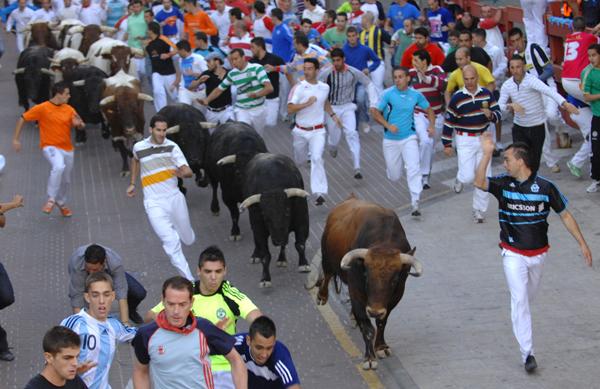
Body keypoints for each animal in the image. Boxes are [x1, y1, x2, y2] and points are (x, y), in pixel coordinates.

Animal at [237, 153, 310, 286]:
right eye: (266, 217)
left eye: (287, 212)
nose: (278, 239)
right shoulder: (259, 227)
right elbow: (265, 255)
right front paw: (265, 279)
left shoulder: (302, 221)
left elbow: (300, 244)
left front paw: (304, 264)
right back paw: (256, 255)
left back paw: (282, 259)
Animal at [314, 194, 422, 370]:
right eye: (366, 275)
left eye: (395, 279)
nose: (375, 311)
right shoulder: (356, 292)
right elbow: (367, 327)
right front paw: (369, 358)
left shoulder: (395, 297)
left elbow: (382, 322)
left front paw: (381, 347)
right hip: (327, 257)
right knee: (328, 274)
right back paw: (322, 296)